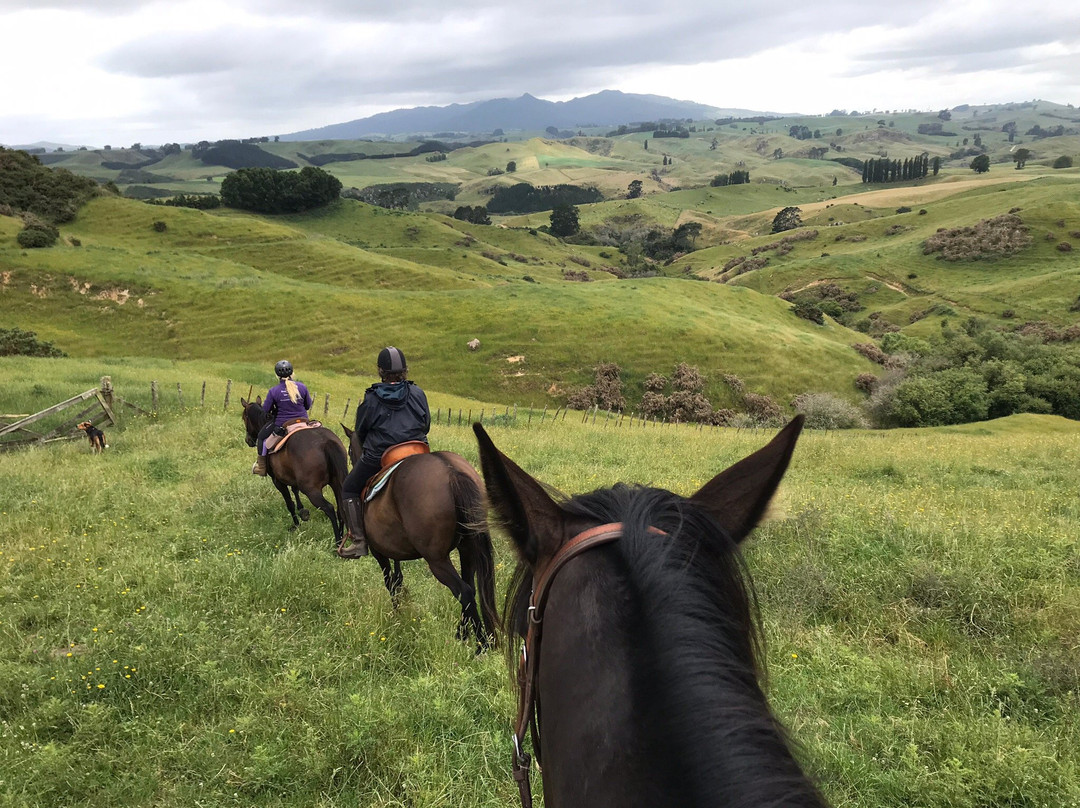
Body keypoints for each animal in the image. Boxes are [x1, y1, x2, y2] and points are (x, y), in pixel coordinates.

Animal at [243, 395, 347, 546]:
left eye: (244, 417)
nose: (248, 440)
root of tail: (326, 442)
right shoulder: (292, 477)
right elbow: (295, 490)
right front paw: (302, 511)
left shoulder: (277, 481)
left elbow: (289, 503)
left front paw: (296, 525)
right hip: (336, 483)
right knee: (341, 508)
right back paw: (342, 538)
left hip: (311, 489)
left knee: (329, 508)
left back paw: (337, 543)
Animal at [339, 423, 494, 648]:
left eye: (350, 449)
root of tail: (451, 471)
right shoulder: (392, 546)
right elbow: (398, 578)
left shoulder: (378, 551)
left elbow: (390, 582)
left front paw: (396, 615)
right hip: (467, 548)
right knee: (470, 588)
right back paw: (462, 634)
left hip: (437, 560)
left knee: (463, 591)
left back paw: (481, 645)